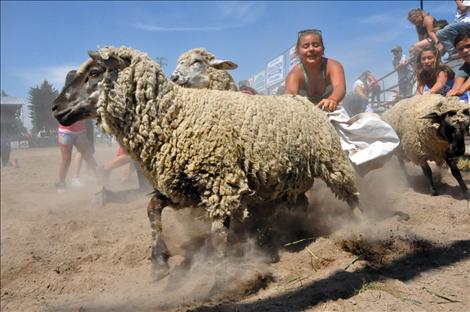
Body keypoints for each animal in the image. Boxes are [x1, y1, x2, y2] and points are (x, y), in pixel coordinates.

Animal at [52, 45, 360, 276]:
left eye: (94, 72)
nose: (56, 108)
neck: (175, 115)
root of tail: (304, 100)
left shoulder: (220, 182)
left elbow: (218, 234)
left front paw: (220, 272)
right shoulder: (183, 187)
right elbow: (152, 208)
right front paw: (159, 261)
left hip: (331, 160)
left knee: (351, 195)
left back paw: (362, 228)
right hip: (287, 179)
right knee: (300, 204)